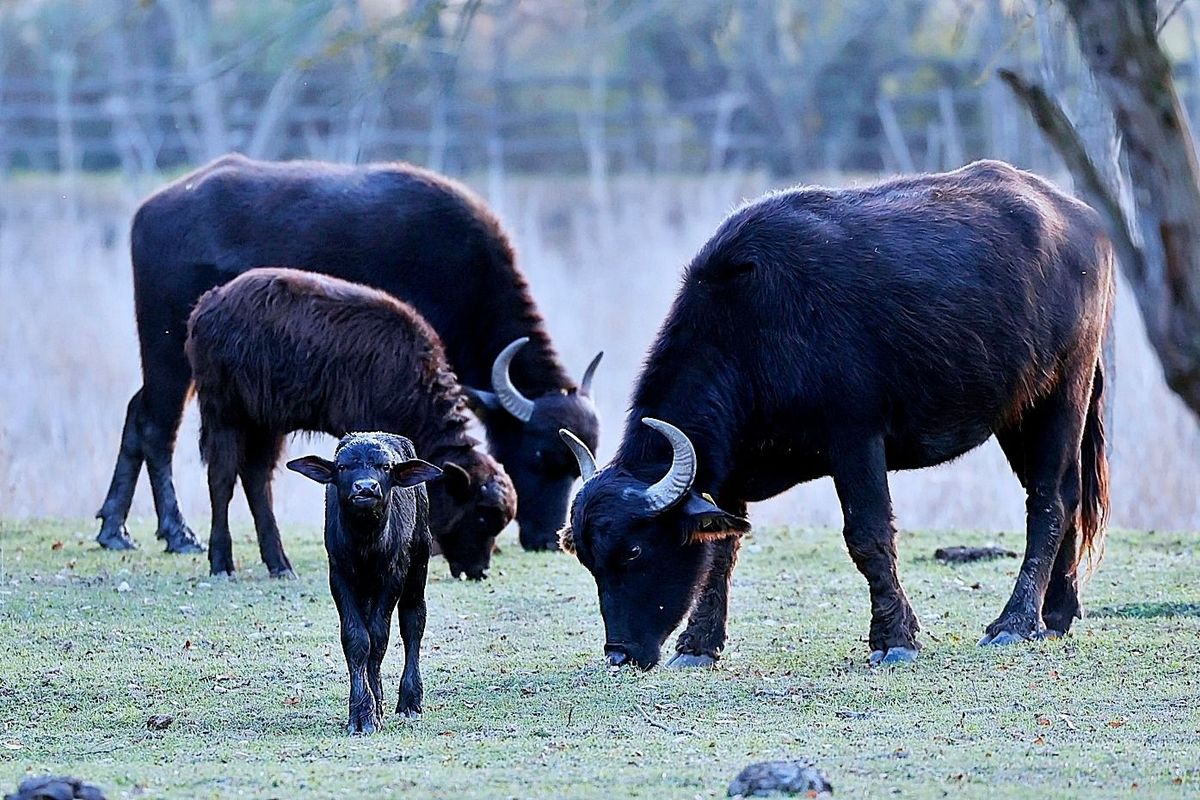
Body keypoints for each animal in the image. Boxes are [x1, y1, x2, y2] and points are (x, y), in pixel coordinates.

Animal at [187, 268, 516, 582]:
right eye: (481, 515)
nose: (479, 570)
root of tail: (211, 302)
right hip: (226, 413)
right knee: (222, 479)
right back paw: (222, 564)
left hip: (265, 423)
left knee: (257, 480)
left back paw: (280, 565)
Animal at [288, 431, 444, 734]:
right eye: (342, 467)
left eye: (384, 467)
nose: (365, 488)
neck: (366, 543)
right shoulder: (339, 577)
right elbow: (357, 639)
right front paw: (362, 713)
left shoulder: (393, 576)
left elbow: (379, 638)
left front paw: (374, 710)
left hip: (419, 564)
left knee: (413, 622)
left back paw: (410, 702)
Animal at [561, 160, 1113, 671]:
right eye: (588, 560)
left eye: (634, 552)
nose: (619, 654)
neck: (752, 331)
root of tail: (1083, 218)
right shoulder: (728, 470)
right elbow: (721, 551)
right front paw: (698, 646)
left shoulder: (855, 439)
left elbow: (867, 536)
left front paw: (894, 640)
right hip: (1017, 413)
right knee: (1066, 494)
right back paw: (1056, 615)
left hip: (1065, 389)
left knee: (1049, 502)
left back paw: (1015, 622)